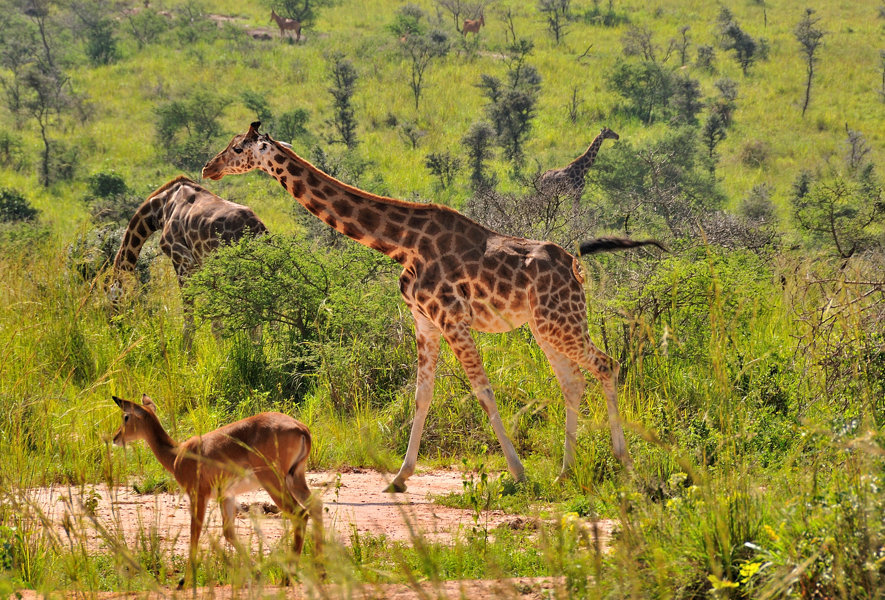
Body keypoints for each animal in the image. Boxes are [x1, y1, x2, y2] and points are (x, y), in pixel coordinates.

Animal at [109, 173, 266, 342]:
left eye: (113, 298)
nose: (115, 325)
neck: (159, 209)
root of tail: (259, 229)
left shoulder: (182, 259)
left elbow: (191, 320)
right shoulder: (198, 264)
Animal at [110, 394, 322, 584]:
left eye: (126, 416)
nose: (115, 437)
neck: (177, 454)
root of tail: (301, 428)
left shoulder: (198, 495)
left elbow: (194, 533)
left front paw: (185, 580)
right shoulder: (226, 496)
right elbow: (228, 533)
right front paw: (255, 573)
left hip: (273, 481)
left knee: (300, 514)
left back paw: (288, 578)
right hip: (295, 478)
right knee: (316, 506)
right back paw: (320, 570)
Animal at [202, 123, 664, 492]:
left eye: (238, 148)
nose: (208, 169)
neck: (402, 244)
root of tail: (575, 266)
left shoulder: (451, 318)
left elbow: (483, 391)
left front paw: (518, 472)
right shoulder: (423, 321)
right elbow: (422, 395)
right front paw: (399, 477)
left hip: (561, 320)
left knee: (606, 365)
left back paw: (623, 464)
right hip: (545, 325)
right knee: (573, 381)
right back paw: (565, 473)